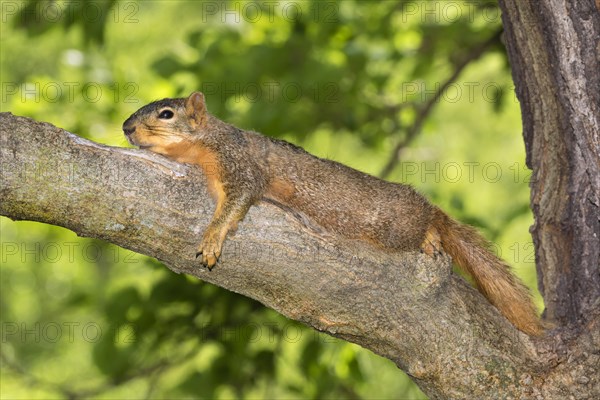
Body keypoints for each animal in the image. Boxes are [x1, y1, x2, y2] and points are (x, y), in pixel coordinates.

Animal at [122, 92, 544, 336]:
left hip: (396, 226)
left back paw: (430, 237)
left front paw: (212, 237)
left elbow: (237, 200)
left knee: (426, 229)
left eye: (166, 114)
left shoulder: (240, 165)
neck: (207, 141)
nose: (126, 127)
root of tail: (424, 205)